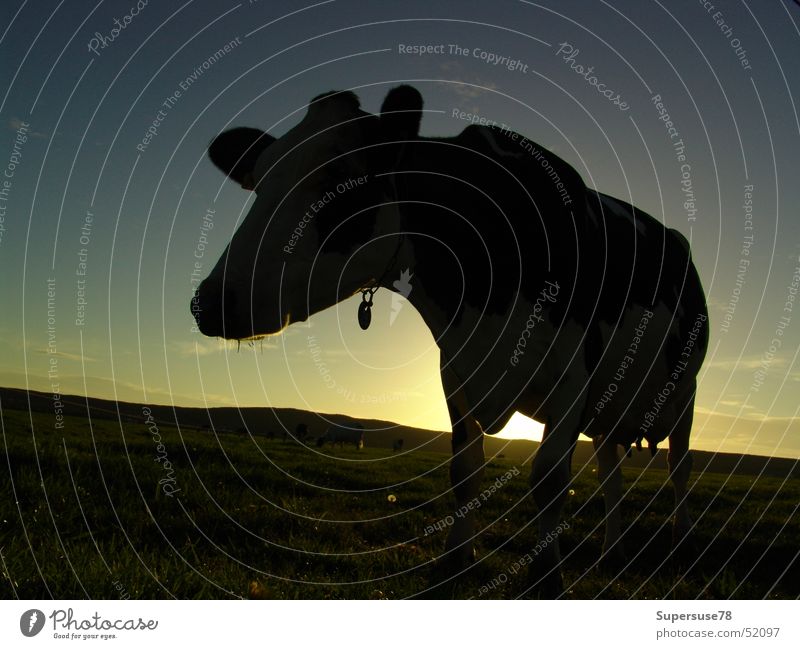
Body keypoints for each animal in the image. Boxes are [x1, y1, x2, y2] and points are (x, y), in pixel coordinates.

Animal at [194, 86, 708, 596]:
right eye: (257, 181)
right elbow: (464, 472)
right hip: (610, 406)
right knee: (610, 472)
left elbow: (549, 479)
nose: (211, 300)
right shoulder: (456, 372)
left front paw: (547, 575)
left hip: (684, 390)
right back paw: (613, 552)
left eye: (341, 180)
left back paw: (683, 543)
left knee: (679, 466)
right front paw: (456, 559)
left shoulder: (572, 378)